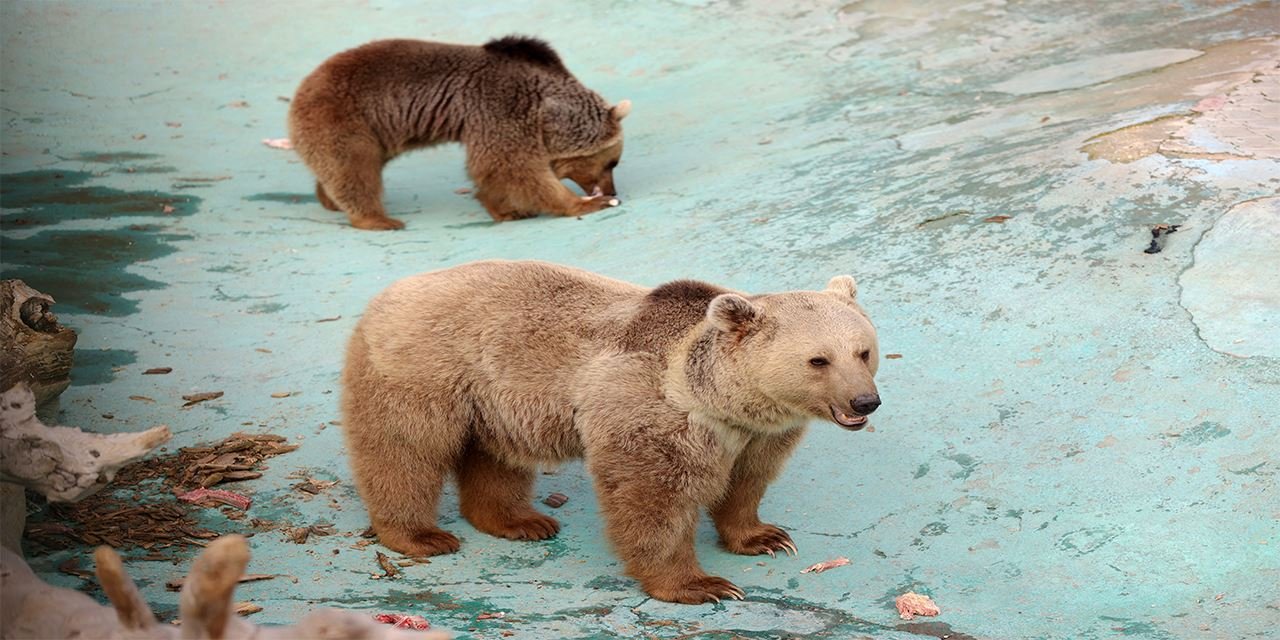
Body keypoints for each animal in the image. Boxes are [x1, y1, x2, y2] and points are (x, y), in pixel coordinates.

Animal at [289, 35, 629, 230]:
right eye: (611, 163)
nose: (613, 191)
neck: (543, 108)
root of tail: (300, 89)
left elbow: (496, 169)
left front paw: (505, 210)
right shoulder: (501, 106)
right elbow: (511, 166)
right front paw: (581, 204)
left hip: (377, 133)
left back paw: (328, 199)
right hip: (344, 118)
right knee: (354, 169)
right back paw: (378, 219)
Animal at [340, 259, 880, 604]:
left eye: (863, 351)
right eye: (818, 359)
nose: (865, 401)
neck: (720, 401)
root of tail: (386, 294)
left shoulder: (755, 435)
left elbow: (746, 482)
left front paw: (765, 536)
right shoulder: (649, 410)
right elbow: (652, 498)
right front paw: (700, 585)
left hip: (495, 400)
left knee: (496, 457)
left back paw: (519, 521)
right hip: (426, 368)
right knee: (405, 450)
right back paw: (420, 535)